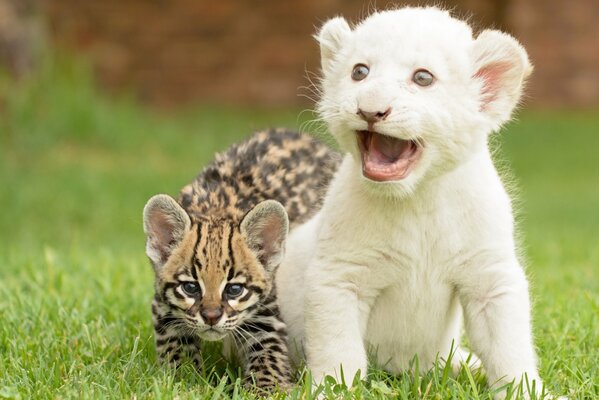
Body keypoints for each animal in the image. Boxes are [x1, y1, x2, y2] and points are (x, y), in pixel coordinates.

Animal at [140, 129, 338, 390]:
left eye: (234, 289)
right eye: (190, 287)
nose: (211, 317)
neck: (216, 210)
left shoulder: (266, 312)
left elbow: (269, 354)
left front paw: (269, 388)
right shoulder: (164, 307)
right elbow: (176, 347)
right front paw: (183, 382)